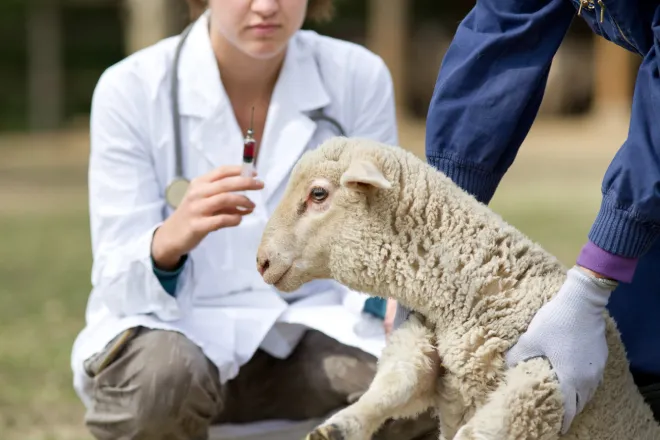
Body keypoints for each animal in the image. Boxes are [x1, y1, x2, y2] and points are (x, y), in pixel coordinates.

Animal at [255, 136, 660, 440]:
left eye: (318, 194)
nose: (261, 262)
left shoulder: (546, 381)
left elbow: (481, 430)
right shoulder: (428, 348)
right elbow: (395, 384)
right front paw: (340, 426)